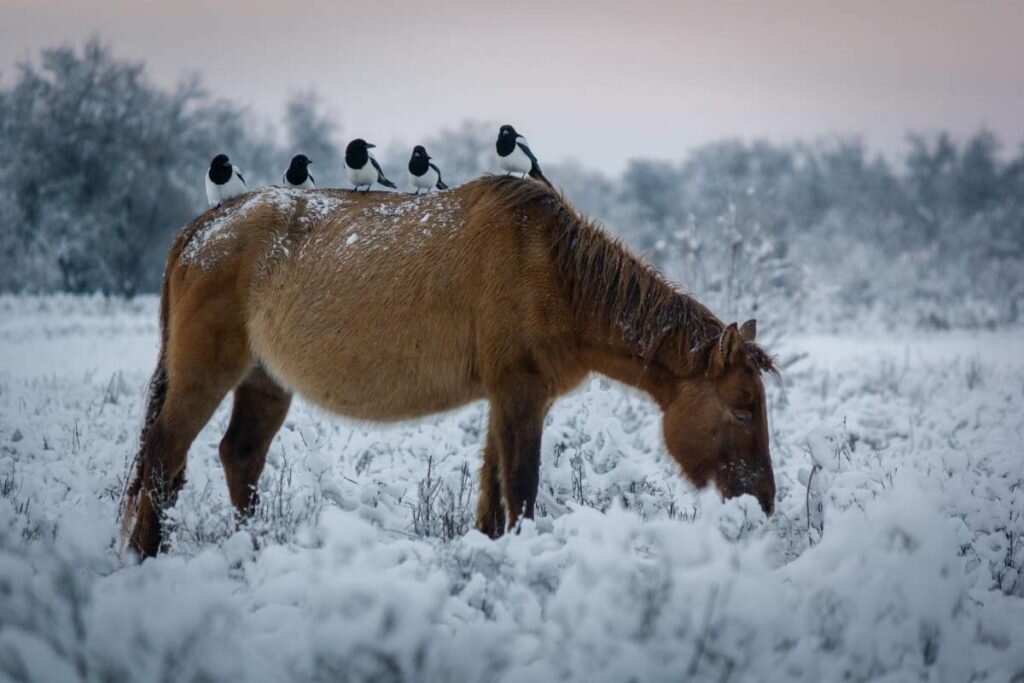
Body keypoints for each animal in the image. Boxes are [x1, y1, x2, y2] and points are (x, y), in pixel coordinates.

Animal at [119, 178, 774, 561]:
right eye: (743, 407)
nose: (764, 502)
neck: (555, 271)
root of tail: (201, 231)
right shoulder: (519, 395)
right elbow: (522, 486)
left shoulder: (509, 398)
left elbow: (492, 489)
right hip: (204, 375)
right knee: (163, 457)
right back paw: (146, 554)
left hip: (264, 382)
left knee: (240, 457)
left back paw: (251, 545)